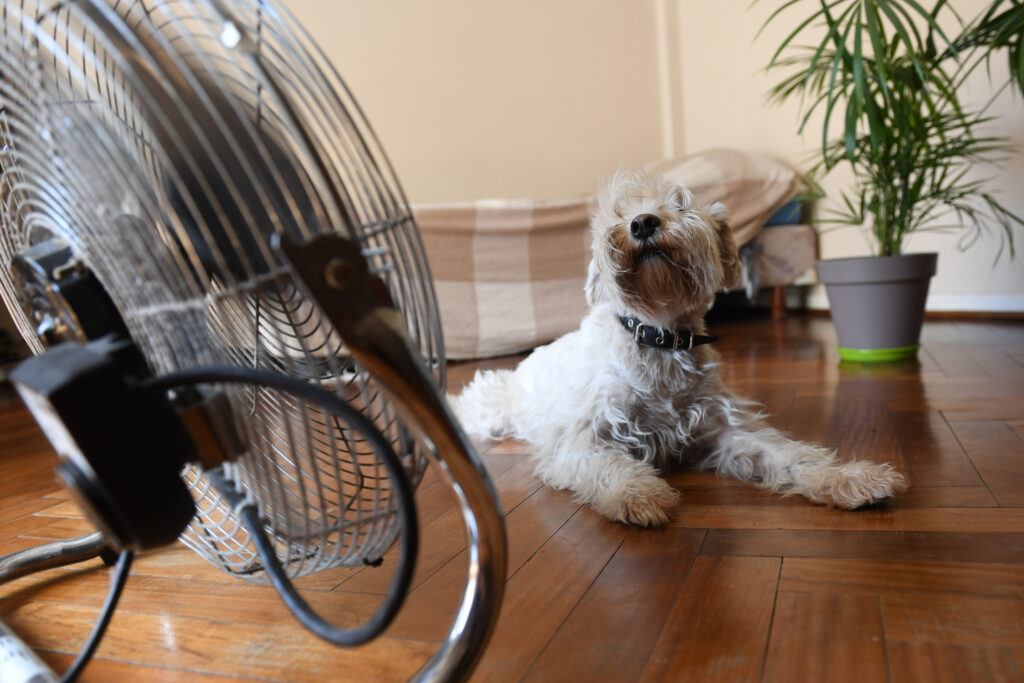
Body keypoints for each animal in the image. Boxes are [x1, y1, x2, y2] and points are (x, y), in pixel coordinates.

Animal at [452, 172, 909, 528]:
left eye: (681, 203)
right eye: (618, 211)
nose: (642, 222)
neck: (660, 337)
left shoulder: (723, 430)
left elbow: (793, 456)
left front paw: (851, 478)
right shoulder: (583, 436)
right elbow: (611, 465)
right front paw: (639, 494)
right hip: (492, 409)